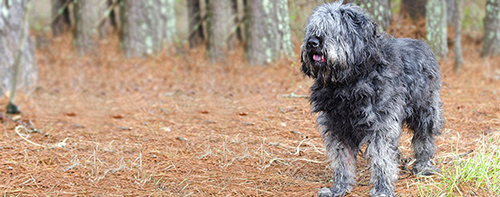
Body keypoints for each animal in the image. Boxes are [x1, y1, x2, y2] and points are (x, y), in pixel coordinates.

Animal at [300, 1, 446, 197]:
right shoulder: (337, 126)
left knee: (424, 139)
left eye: (332, 29)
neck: (348, 82)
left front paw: (383, 188)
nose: (312, 43)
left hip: (425, 111)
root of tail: (422, 44)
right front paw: (339, 188)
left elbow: (382, 158)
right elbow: (342, 160)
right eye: (313, 29)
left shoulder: (381, 126)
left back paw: (423, 167)